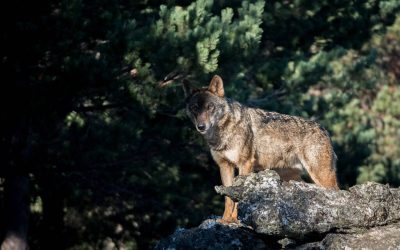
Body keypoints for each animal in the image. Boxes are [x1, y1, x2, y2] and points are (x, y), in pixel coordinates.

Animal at [184, 75, 338, 224]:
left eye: (210, 107)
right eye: (195, 108)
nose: (201, 126)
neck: (222, 135)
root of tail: (325, 130)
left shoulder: (245, 164)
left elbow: (239, 197)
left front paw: (236, 219)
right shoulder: (225, 166)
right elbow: (228, 198)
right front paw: (225, 220)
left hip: (321, 176)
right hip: (293, 178)